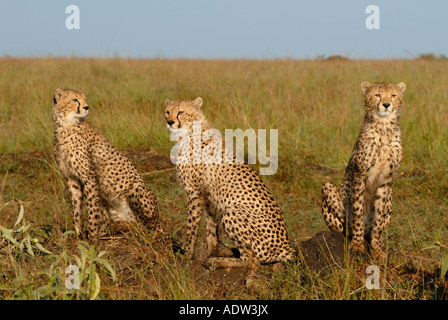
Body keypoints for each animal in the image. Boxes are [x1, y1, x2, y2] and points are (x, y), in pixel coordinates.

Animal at [52, 89, 164, 241]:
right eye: (74, 100)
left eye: (85, 99)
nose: (86, 107)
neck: (66, 126)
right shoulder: (71, 178)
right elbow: (76, 209)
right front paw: (79, 234)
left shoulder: (89, 177)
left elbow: (92, 209)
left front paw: (92, 238)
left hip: (136, 189)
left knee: (148, 225)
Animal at [163, 96, 296, 266]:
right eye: (167, 112)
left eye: (181, 112)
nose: (170, 122)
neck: (190, 132)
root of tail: (286, 245)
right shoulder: (209, 195)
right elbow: (211, 226)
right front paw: (212, 250)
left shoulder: (194, 191)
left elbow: (192, 226)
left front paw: (187, 254)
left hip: (232, 212)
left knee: (251, 260)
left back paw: (217, 262)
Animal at [322, 81, 406, 258]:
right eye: (377, 95)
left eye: (393, 95)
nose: (386, 105)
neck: (384, 127)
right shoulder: (360, 175)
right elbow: (358, 212)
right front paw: (357, 245)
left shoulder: (386, 182)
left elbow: (378, 220)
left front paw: (377, 249)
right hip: (328, 188)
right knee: (342, 227)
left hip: (391, 194)